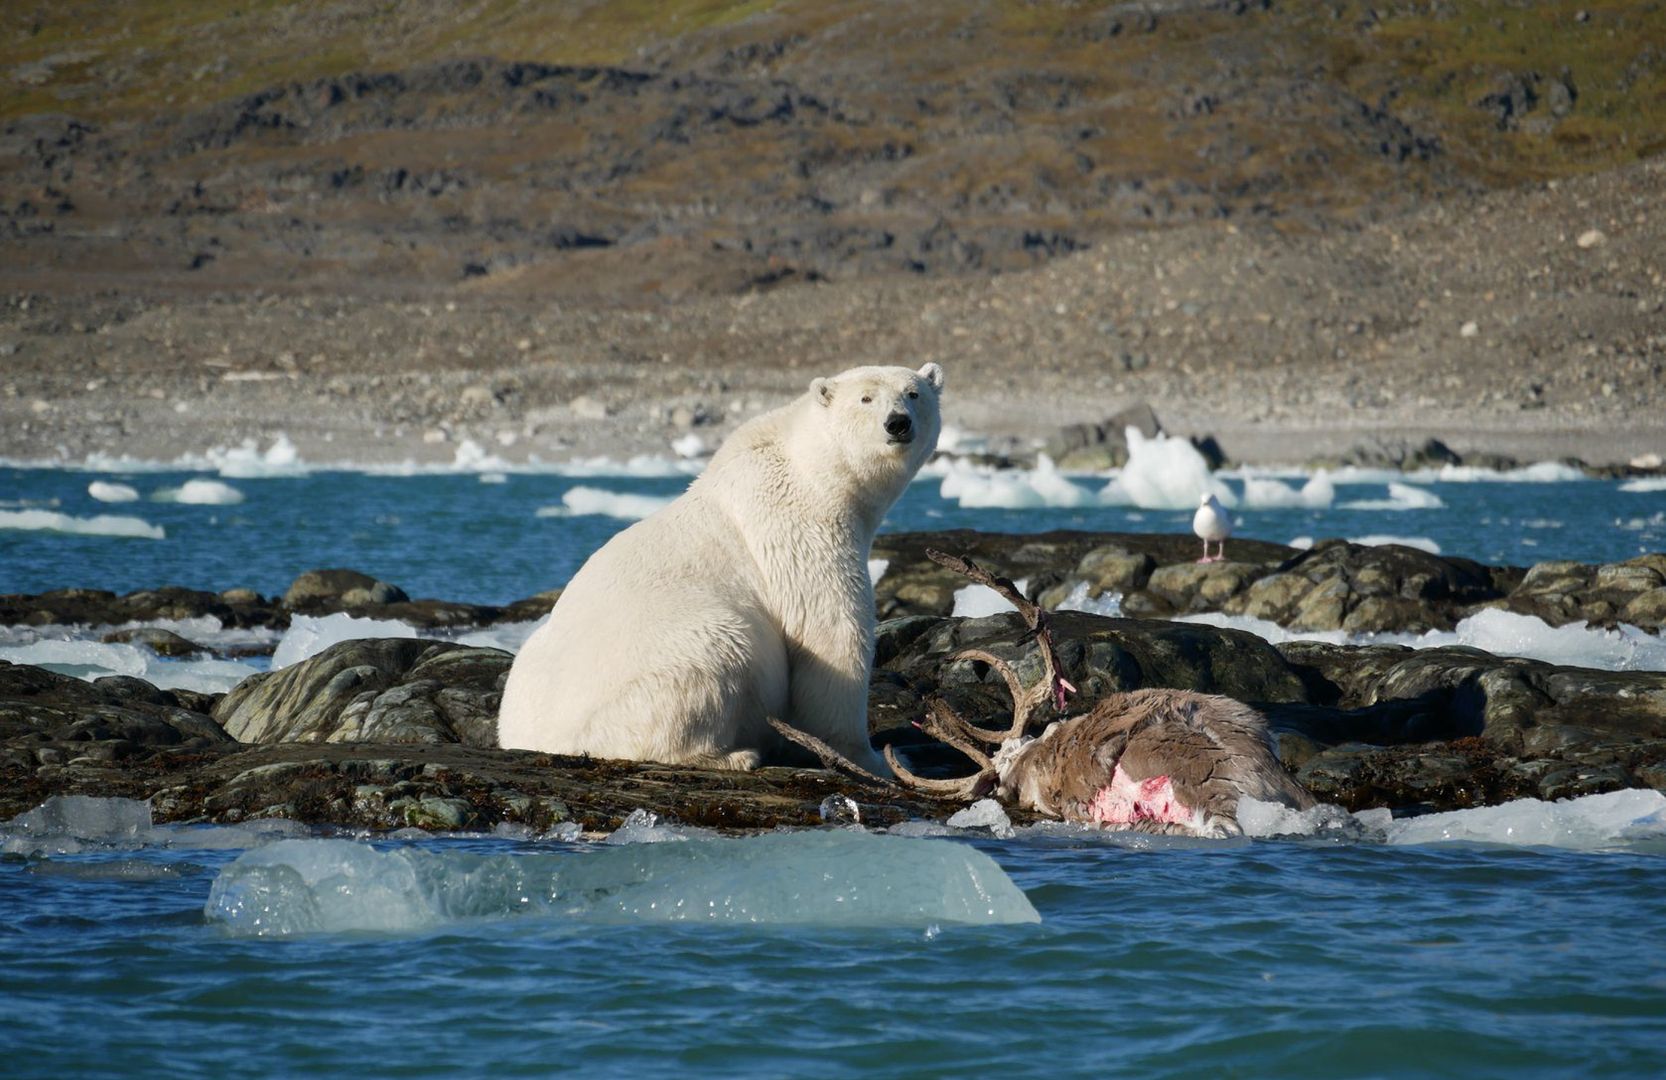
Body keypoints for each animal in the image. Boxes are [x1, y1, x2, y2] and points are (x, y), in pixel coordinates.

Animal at [493, 366, 946, 773]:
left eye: (913, 394)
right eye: (866, 398)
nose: (898, 423)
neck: (810, 469)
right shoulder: (797, 530)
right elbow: (831, 632)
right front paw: (877, 759)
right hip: (683, 650)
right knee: (721, 654)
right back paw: (731, 755)